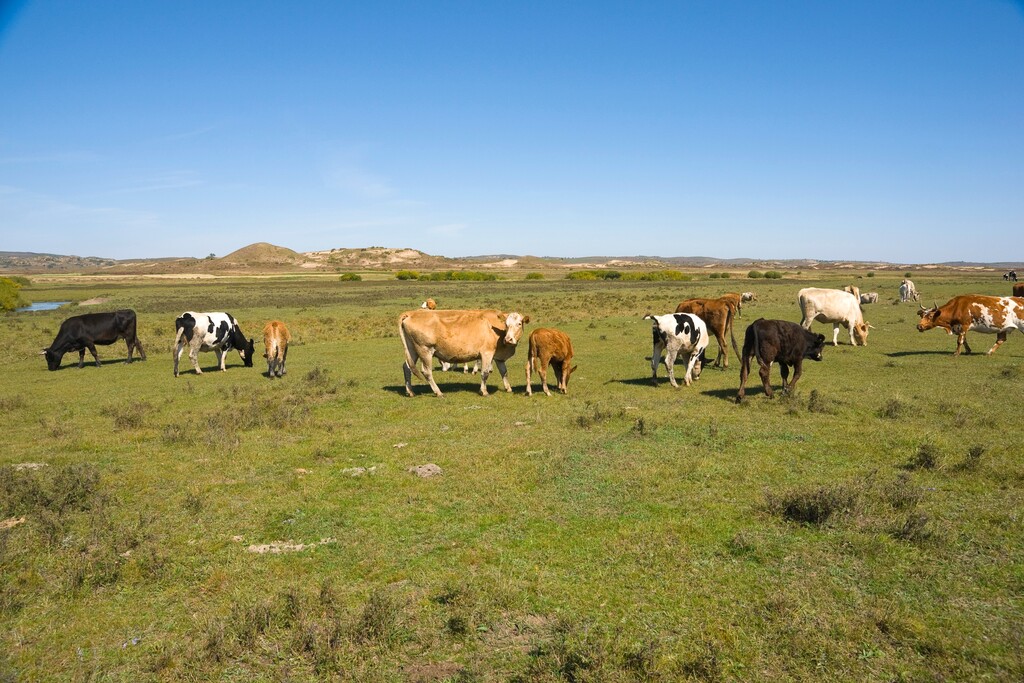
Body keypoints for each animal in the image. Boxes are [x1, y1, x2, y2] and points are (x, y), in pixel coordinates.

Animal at [397, 309, 532, 397]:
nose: (508, 339)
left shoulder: (498, 356)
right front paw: (484, 391)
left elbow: (504, 372)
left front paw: (508, 388)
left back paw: (410, 391)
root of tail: (411, 313)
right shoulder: (486, 353)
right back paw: (438, 392)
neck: (496, 329)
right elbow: (484, 373)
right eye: (507, 325)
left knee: (407, 367)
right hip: (425, 350)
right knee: (426, 371)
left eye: (519, 324)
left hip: (412, 350)